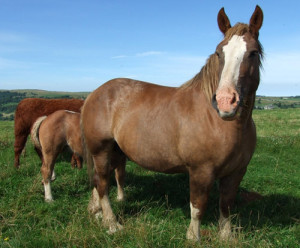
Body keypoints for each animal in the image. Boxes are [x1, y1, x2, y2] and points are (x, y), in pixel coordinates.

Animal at [81, 5, 264, 241]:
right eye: (219, 52)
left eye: (253, 53)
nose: (225, 102)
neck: (220, 121)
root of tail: (94, 93)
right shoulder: (201, 171)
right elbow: (198, 206)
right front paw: (193, 237)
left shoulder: (236, 172)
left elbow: (226, 205)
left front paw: (226, 236)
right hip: (101, 150)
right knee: (103, 183)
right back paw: (112, 223)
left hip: (114, 151)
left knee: (97, 181)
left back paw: (97, 213)